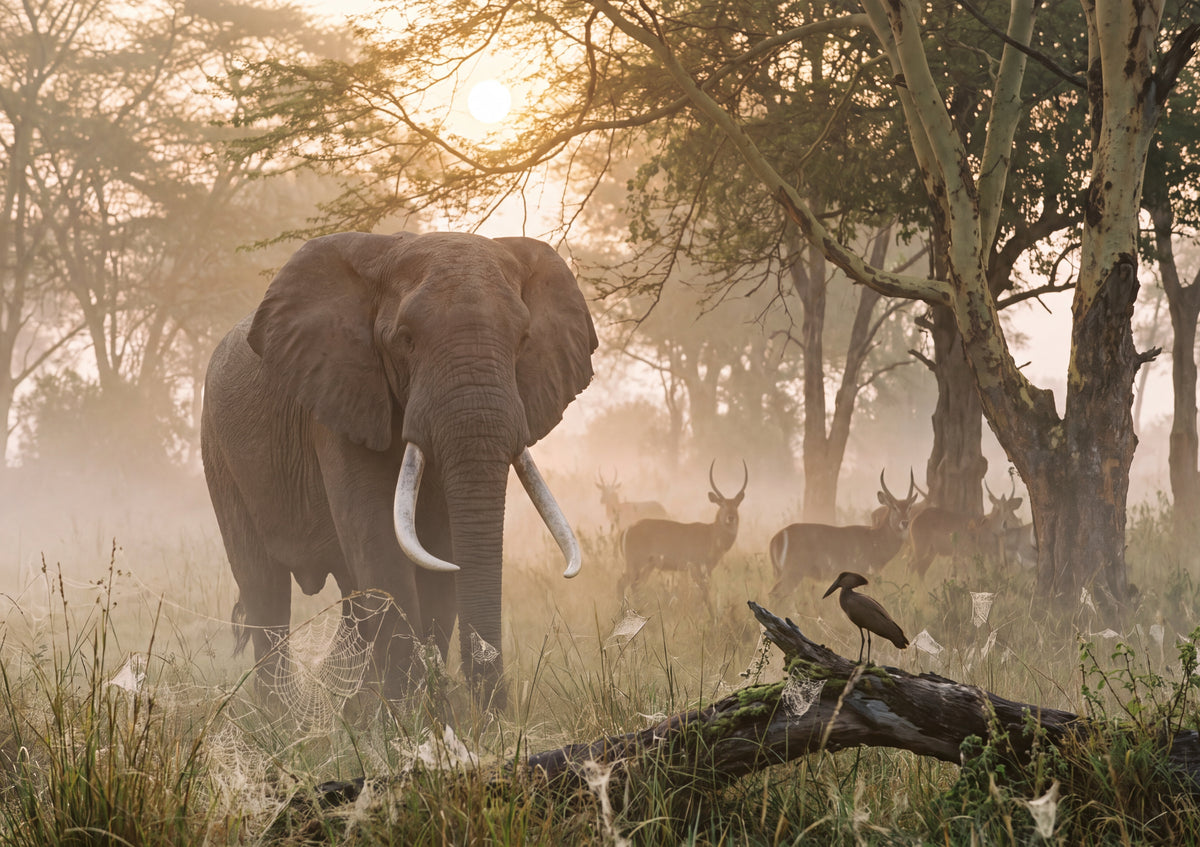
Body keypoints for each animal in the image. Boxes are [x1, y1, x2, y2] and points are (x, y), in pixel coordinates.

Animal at [201, 231, 597, 709]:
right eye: (406, 339)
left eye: (523, 340)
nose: (495, 711)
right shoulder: (339, 398)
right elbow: (382, 544)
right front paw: (410, 715)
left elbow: (440, 555)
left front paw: (426, 713)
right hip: (219, 453)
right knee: (264, 589)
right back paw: (284, 716)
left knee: (350, 597)